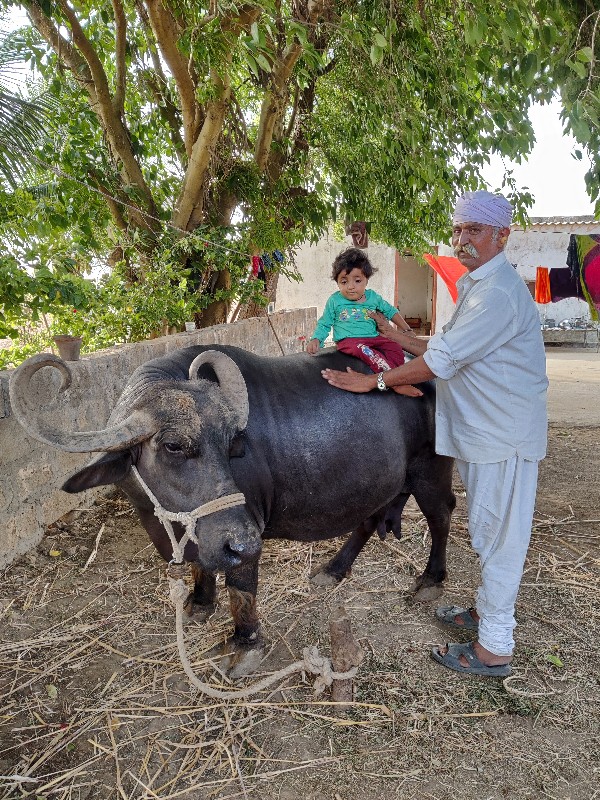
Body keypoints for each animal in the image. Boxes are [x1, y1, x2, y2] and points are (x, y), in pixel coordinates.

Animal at [9, 346, 454, 680]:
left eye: (229, 444)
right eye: (173, 445)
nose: (245, 541)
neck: (162, 520)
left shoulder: (242, 537)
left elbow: (241, 590)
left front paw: (245, 646)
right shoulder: (203, 536)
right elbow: (200, 566)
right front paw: (199, 604)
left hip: (431, 471)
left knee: (442, 514)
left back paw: (430, 580)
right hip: (384, 482)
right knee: (369, 517)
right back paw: (333, 569)